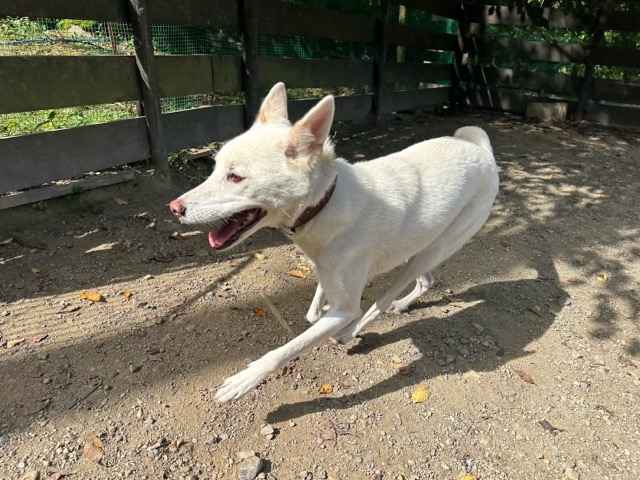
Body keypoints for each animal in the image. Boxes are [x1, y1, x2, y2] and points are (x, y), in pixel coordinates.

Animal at [169, 82, 499, 403]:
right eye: (214, 168)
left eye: (235, 177)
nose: (174, 207)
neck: (324, 203)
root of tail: (481, 150)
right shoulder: (326, 273)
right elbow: (314, 310)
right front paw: (319, 309)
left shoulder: (346, 307)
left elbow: (287, 349)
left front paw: (245, 379)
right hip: (421, 247)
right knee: (427, 281)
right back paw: (402, 305)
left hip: (432, 250)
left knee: (383, 299)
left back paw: (351, 331)